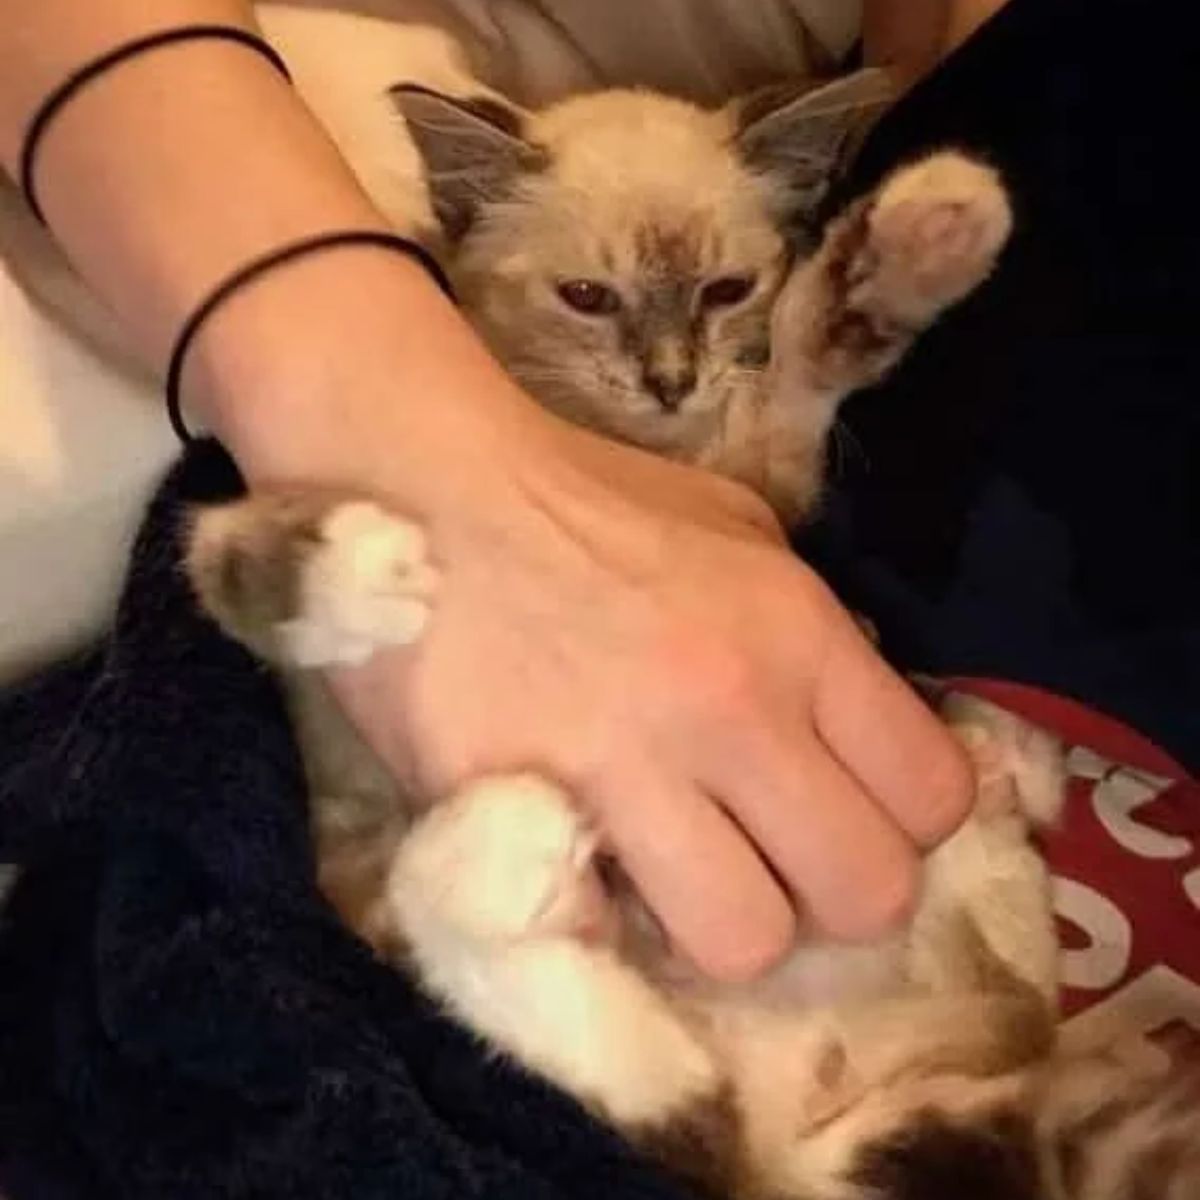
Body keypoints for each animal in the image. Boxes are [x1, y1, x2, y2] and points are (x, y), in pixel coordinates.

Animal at [182, 11, 1195, 1200]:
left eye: (723, 291)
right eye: (588, 298)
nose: (669, 380)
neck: (619, 440)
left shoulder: (762, 485)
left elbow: (805, 365)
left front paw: (920, 238)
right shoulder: (329, 776)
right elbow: (222, 560)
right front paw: (368, 568)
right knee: (659, 1086)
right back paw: (505, 850)